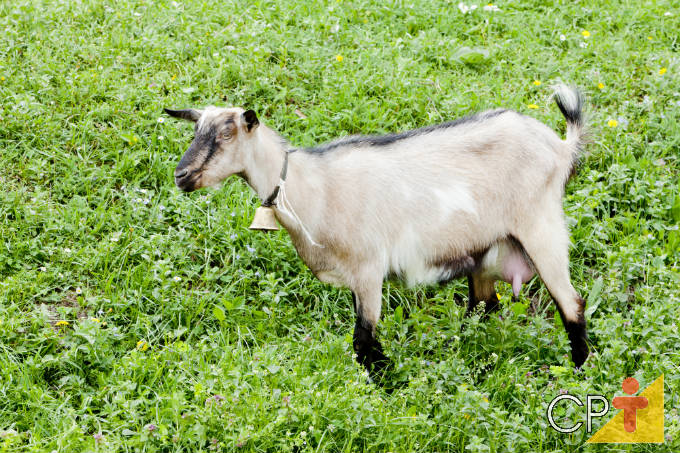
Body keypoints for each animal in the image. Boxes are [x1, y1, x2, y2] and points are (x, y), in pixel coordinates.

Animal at [166, 85, 588, 374]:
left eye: (225, 135)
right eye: (194, 132)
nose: (181, 176)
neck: (310, 185)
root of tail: (561, 147)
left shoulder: (368, 269)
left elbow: (364, 340)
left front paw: (383, 384)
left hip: (541, 226)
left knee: (572, 303)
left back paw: (578, 368)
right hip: (486, 250)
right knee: (485, 305)